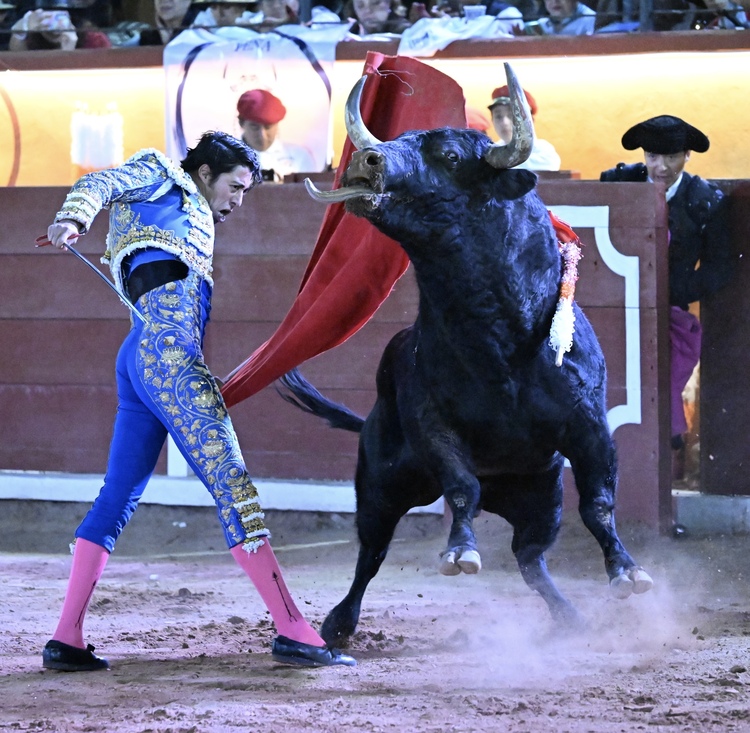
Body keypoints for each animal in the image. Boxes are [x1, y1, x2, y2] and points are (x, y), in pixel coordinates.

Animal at [279, 64, 653, 646]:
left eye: (451, 157)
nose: (368, 159)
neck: (496, 339)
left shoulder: (590, 423)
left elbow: (600, 503)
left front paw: (627, 572)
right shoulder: (434, 425)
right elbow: (461, 487)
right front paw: (460, 552)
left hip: (542, 499)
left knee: (530, 558)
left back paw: (568, 615)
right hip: (381, 485)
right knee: (372, 552)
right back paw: (339, 622)